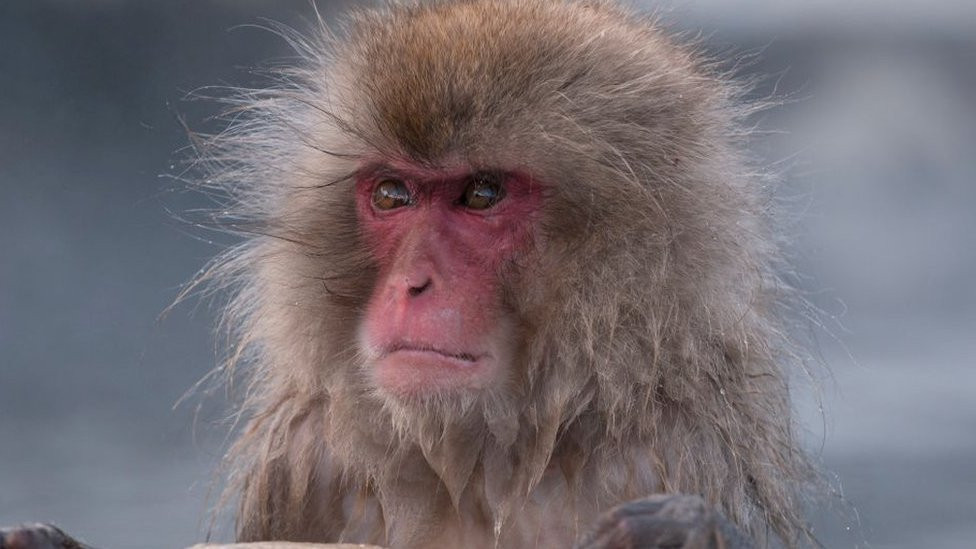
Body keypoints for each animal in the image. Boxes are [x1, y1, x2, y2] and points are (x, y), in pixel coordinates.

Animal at [1, 1, 817, 548]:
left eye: (481, 193)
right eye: (392, 194)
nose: (411, 286)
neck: (480, 462)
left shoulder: (659, 452)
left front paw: (683, 528)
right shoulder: (312, 457)